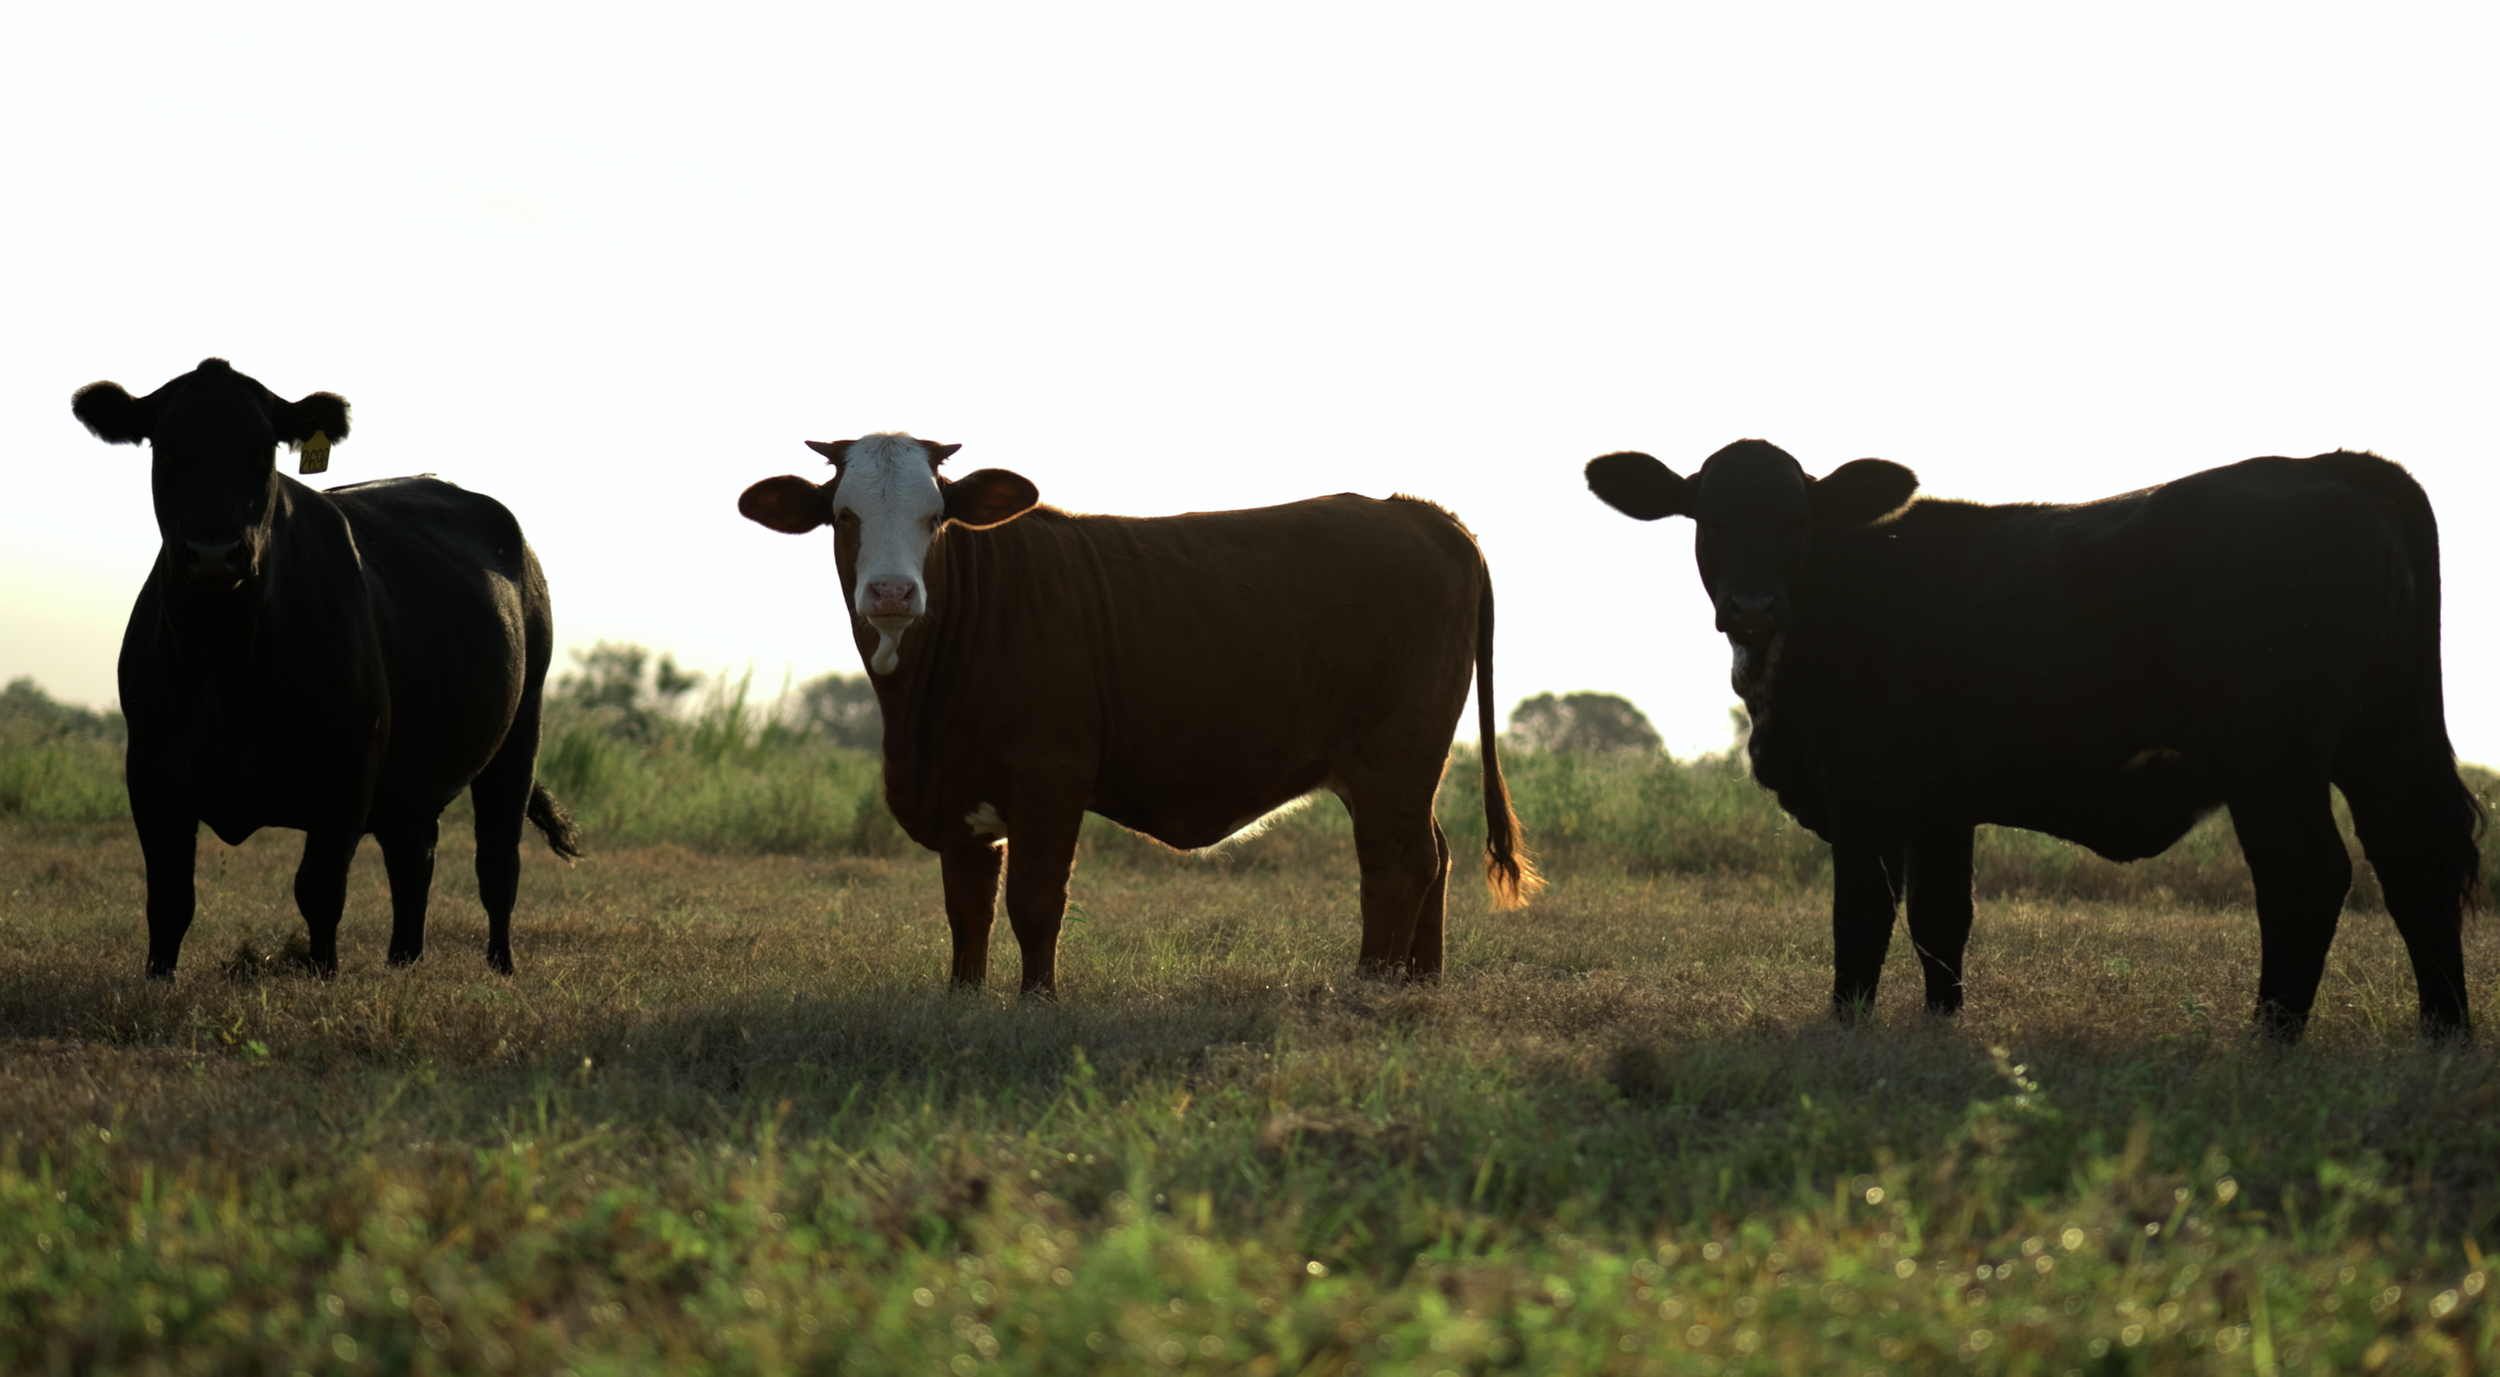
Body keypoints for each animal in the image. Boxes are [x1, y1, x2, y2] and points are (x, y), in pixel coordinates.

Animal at [72, 358, 583, 979]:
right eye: (165, 448)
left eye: (262, 450)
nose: (214, 554)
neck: (223, 665)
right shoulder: (149, 769)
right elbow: (169, 897)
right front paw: (157, 977)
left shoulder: (348, 765)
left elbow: (318, 888)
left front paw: (322, 975)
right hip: (413, 768)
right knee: (413, 855)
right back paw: (403, 962)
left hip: (519, 729)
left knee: (497, 862)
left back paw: (500, 969)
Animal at [739, 432, 1539, 995]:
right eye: (844, 515)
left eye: (935, 517)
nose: (892, 593)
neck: (919, 720)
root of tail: (1416, 511)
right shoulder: (967, 798)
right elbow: (968, 911)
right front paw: (962, 1001)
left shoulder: (1050, 777)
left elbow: (1035, 901)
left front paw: (1037, 1003)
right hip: (1404, 771)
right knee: (1434, 854)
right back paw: (1418, 985)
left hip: (1392, 759)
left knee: (1396, 867)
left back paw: (1371, 988)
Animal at [1585, 439, 2480, 1042]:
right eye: (1708, 518)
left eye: (1795, 520)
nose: (1752, 605)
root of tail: (2325, 465)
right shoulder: (1941, 806)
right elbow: (1941, 920)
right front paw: (1939, 1029)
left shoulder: (1866, 786)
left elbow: (1862, 913)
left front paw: (1845, 1027)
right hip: (2385, 740)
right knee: (2414, 866)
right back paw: (2445, 1033)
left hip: (2270, 753)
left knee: (2307, 875)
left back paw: (2269, 1038)